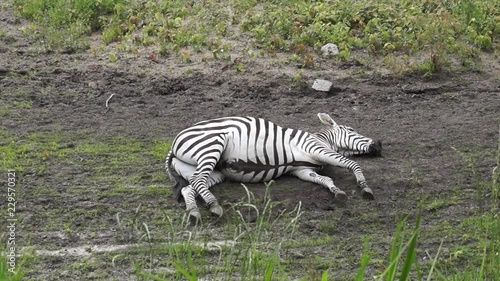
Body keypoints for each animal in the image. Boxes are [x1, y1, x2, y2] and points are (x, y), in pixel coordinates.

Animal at [165, 112, 382, 220]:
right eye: (351, 130)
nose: (379, 144)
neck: (323, 140)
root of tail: (173, 145)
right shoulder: (316, 148)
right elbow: (351, 163)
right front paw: (365, 187)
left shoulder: (303, 170)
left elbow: (326, 179)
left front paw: (337, 192)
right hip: (212, 145)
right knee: (197, 180)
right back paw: (214, 205)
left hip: (211, 171)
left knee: (190, 186)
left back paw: (195, 211)